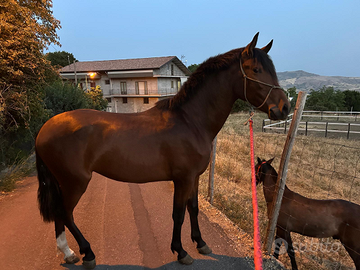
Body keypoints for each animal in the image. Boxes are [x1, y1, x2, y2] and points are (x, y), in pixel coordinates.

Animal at [35, 32, 292, 268]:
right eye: (256, 69)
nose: (284, 107)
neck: (190, 121)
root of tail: (43, 130)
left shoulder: (194, 178)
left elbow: (193, 208)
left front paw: (200, 243)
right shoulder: (182, 178)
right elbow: (178, 214)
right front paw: (180, 251)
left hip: (64, 183)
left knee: (59, 214)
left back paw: (68, 253)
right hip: (75, 182)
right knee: (66, 213)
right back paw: (87, 253)